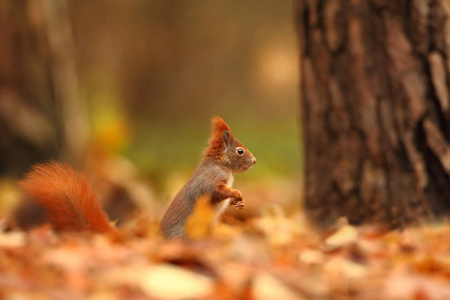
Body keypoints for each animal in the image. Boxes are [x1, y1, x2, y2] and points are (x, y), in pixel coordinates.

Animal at [18, 117, 256, 237]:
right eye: (240, 151)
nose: (254, 161)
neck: (221, 165)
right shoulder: (209, 179)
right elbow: (214, 190)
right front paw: (236, 193)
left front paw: (240, 202)